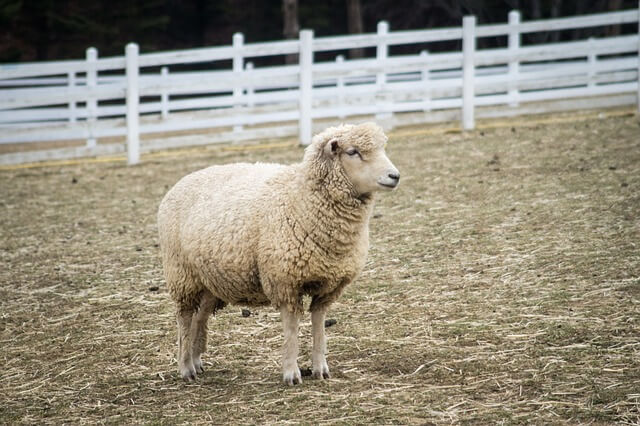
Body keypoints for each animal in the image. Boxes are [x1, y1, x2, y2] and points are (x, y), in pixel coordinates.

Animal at [158, 121, 400, 384]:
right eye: (353, 151)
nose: (395, 176)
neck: (301, 199)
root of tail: (183, 180)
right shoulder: (285, 281)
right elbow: (292, 329)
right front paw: (291, 373)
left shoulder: (329, 285)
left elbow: (319, 325)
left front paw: (320, 368)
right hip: (182, 273)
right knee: (184, 318)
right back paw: (185, 367)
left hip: (210, 279)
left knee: (199, 317)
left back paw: (196, 360)